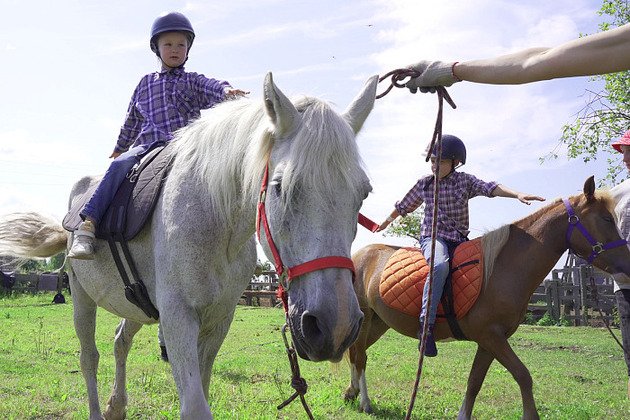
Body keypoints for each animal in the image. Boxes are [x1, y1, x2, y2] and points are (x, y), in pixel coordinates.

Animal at [0, 74, 378, 418]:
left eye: (363, 193)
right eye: (281, 186)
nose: (335, 326)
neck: (214, 218)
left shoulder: (217, 319)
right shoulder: (178, 316)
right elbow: (194, 405)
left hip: (136, 304)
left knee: (120, 341)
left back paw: (116, 406)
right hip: (81, 295)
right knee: (89, 356)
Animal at [346, 177, 630, 420]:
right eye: (606, 218)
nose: (627, 265)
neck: (502, 269)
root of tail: (360, 255)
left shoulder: (489, 341)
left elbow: (474, 382)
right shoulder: (491, 336)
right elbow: (523, 376)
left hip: (379, 323)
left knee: (356, 354)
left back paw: (353, 393)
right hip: (366, 318)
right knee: (359, 356)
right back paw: (365, 402)